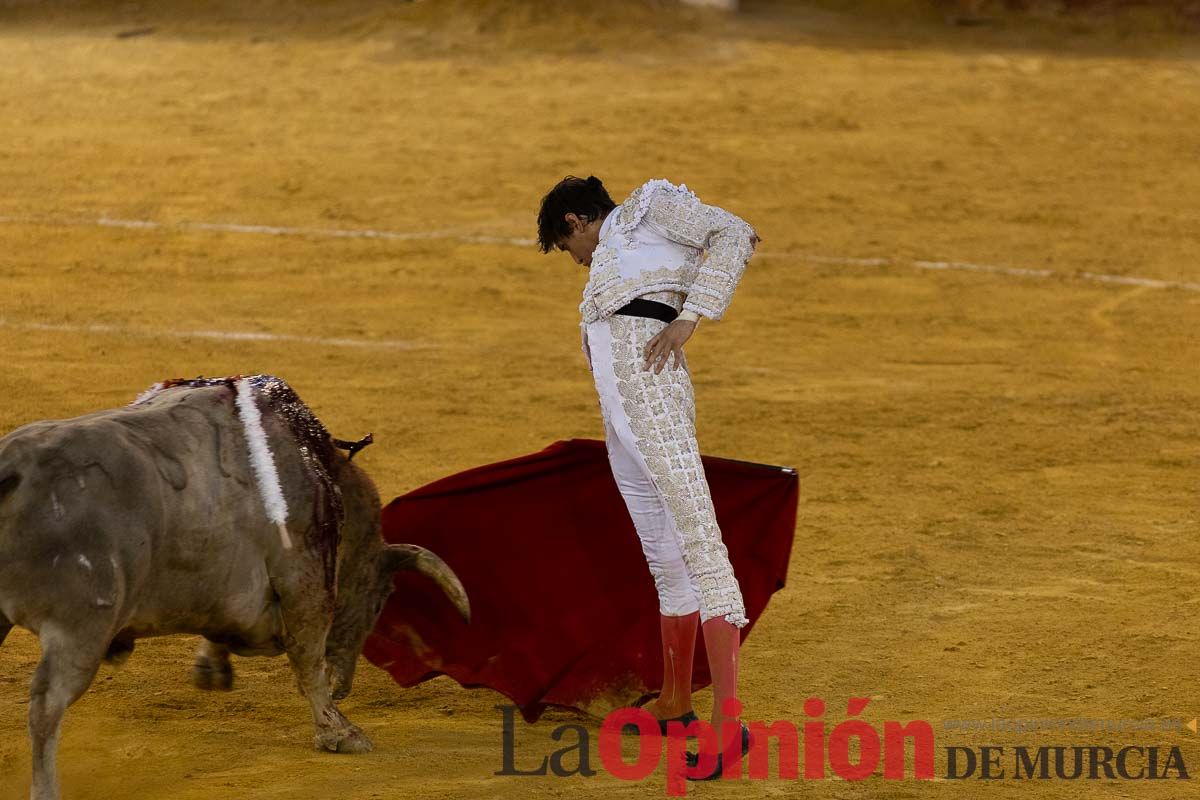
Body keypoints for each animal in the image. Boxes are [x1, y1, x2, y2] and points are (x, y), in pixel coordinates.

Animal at [0, 376, 465, 800]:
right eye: (379, 602)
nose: (344, 687)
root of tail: (14, 469)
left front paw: (213, 667)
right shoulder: (306, 587)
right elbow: (308, 660)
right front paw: (340, 731)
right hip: (82, 629)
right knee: (46, 705)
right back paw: (46, 789)